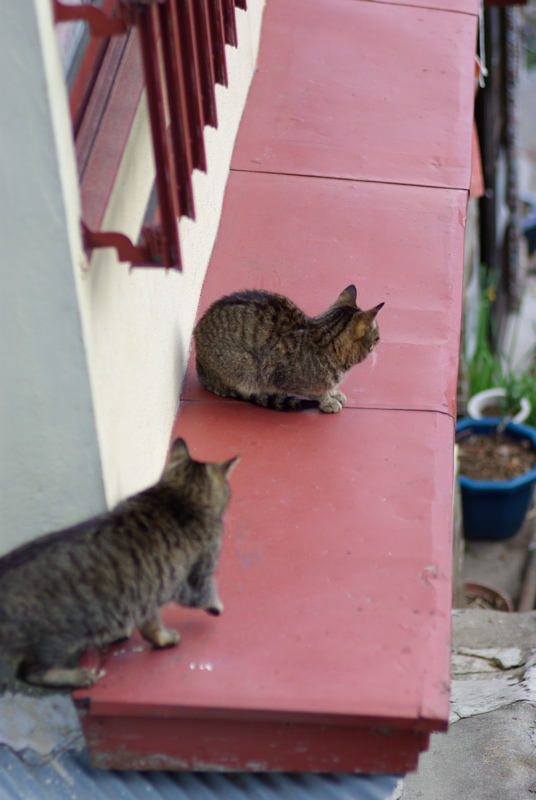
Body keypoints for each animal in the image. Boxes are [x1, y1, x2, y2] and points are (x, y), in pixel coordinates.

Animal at [0, 434, 237, 692]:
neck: (177, 495)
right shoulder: (192, 578)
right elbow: (204, 594)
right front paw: (216, 606)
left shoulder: (150, 590)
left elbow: (151, 626)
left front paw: (161, 639)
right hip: (60, 637)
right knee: (29, 671)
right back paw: (76, 676)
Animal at [195, 284, 384, 412]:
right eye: (376, 336)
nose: (380, 340)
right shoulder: (274, 371)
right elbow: (316, 391)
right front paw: (327, 400)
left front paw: (333, 392)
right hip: (245, 366)